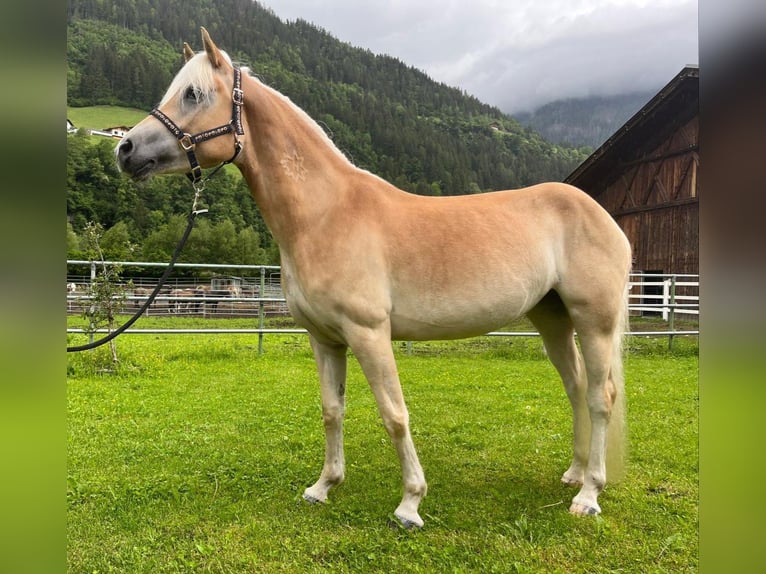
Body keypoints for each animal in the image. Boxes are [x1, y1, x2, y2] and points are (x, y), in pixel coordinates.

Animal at [114, 28, 632, 532]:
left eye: (194, 93)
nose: (125, 149)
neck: (326, 215)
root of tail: (602, 216)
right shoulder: (325, 339)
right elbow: (332, 410)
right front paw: (323, 486)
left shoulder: (369, 333)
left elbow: (394, 415)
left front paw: (410, 504)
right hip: (552, 319)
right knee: (576, 387)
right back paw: (574, 474)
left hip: (594, 321)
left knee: (600, 397)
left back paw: (589, 495)